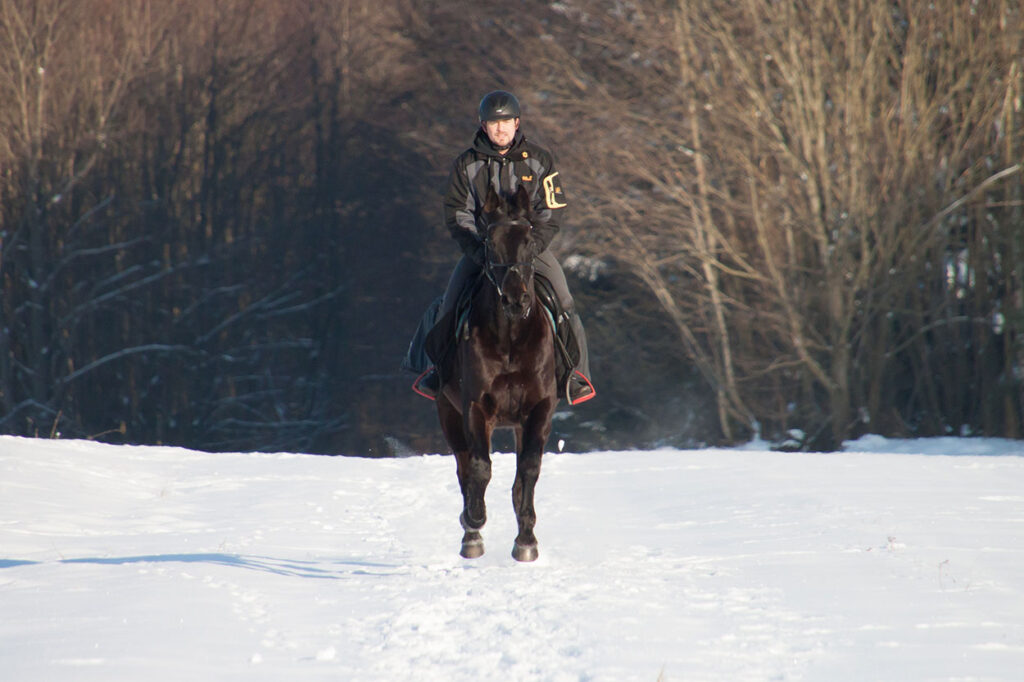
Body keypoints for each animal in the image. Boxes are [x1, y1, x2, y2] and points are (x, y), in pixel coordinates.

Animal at [436, 185, 558, 562]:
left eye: (530, 239)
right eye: (489, 242)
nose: (516, 300)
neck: (511, 339)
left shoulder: (539, 409)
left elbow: (528, 469)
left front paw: (527, 541)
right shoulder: (475, 406)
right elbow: (479, 467)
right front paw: (474, 523)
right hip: (448, 412)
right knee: (463, 467)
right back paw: (470, 529)